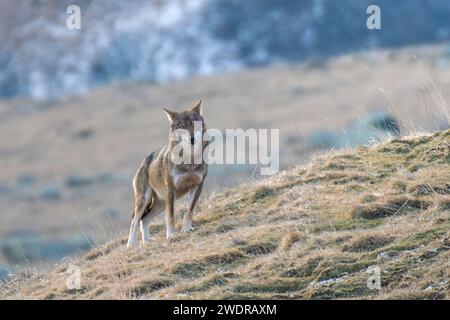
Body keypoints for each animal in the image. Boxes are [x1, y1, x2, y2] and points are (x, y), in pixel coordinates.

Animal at [126, 100, 207, 248]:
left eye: (194, 123)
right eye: (182, 126)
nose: (192, 139)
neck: (189, 161)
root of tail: (144, 160)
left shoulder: (198, 186)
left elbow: (190, 210)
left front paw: (186, 229)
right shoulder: (171, 189)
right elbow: (171, 217)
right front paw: (171, 236)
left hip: (161, 203)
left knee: (144, 220)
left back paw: (147, 241)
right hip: (145, 200)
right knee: (135, 221)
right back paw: (131, 245)